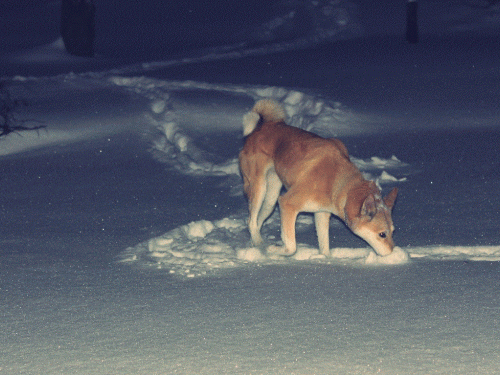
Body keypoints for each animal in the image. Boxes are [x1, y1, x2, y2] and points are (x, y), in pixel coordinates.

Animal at [238, 99, 398, 258]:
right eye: (382, 234)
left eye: (393, 232)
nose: (393, 253)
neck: (338, 184)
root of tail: (263, 126)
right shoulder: (287, 203)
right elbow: (291, 246)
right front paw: (274, 250)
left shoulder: (321, 213)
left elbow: (324, 246)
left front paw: (323, 260)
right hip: (259, 188)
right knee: (251, 220)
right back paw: (260, 244)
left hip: (271, 199)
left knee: (257, 221)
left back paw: (256, 244)